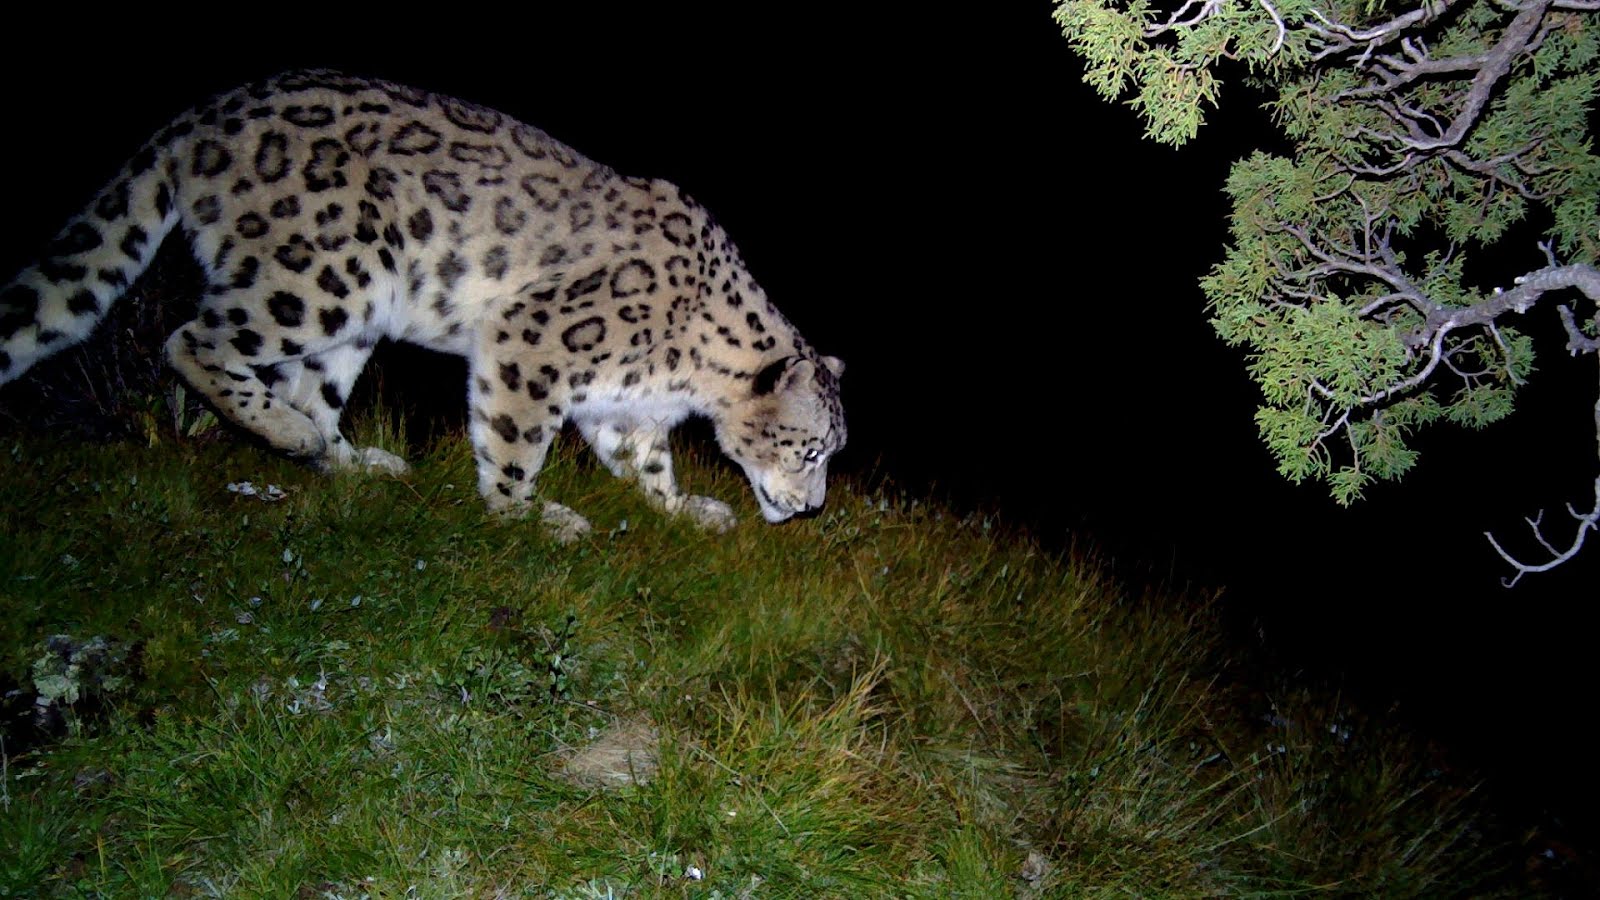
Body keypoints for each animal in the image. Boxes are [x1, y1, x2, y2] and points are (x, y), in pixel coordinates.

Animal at [0, 69, 846, 541]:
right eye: (810, 451)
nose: (812, 509)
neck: (686, 377)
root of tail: (208, 112)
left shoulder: (623, 407)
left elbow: (645, 465)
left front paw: (685, 510)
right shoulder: (532, 342)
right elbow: (514, 441)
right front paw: (527, 517)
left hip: (351, 315)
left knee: (310, 387)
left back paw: (349, 461)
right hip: (330, 271)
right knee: (194, 339)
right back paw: (290, 434)